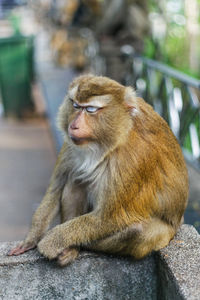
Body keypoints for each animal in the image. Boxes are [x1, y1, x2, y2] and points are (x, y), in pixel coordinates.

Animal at [8, 74, 189, 264]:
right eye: (75, 106)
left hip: (166, 235)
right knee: (75, 182)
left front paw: (50, 242)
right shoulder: (70, 145)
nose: (73, 125)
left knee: (141, 232)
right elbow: (55, 191)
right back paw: (70, 248)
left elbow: (109, 218)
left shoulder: (134, 160)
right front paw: (32, 238)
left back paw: (80, 246)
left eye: (91, 109)